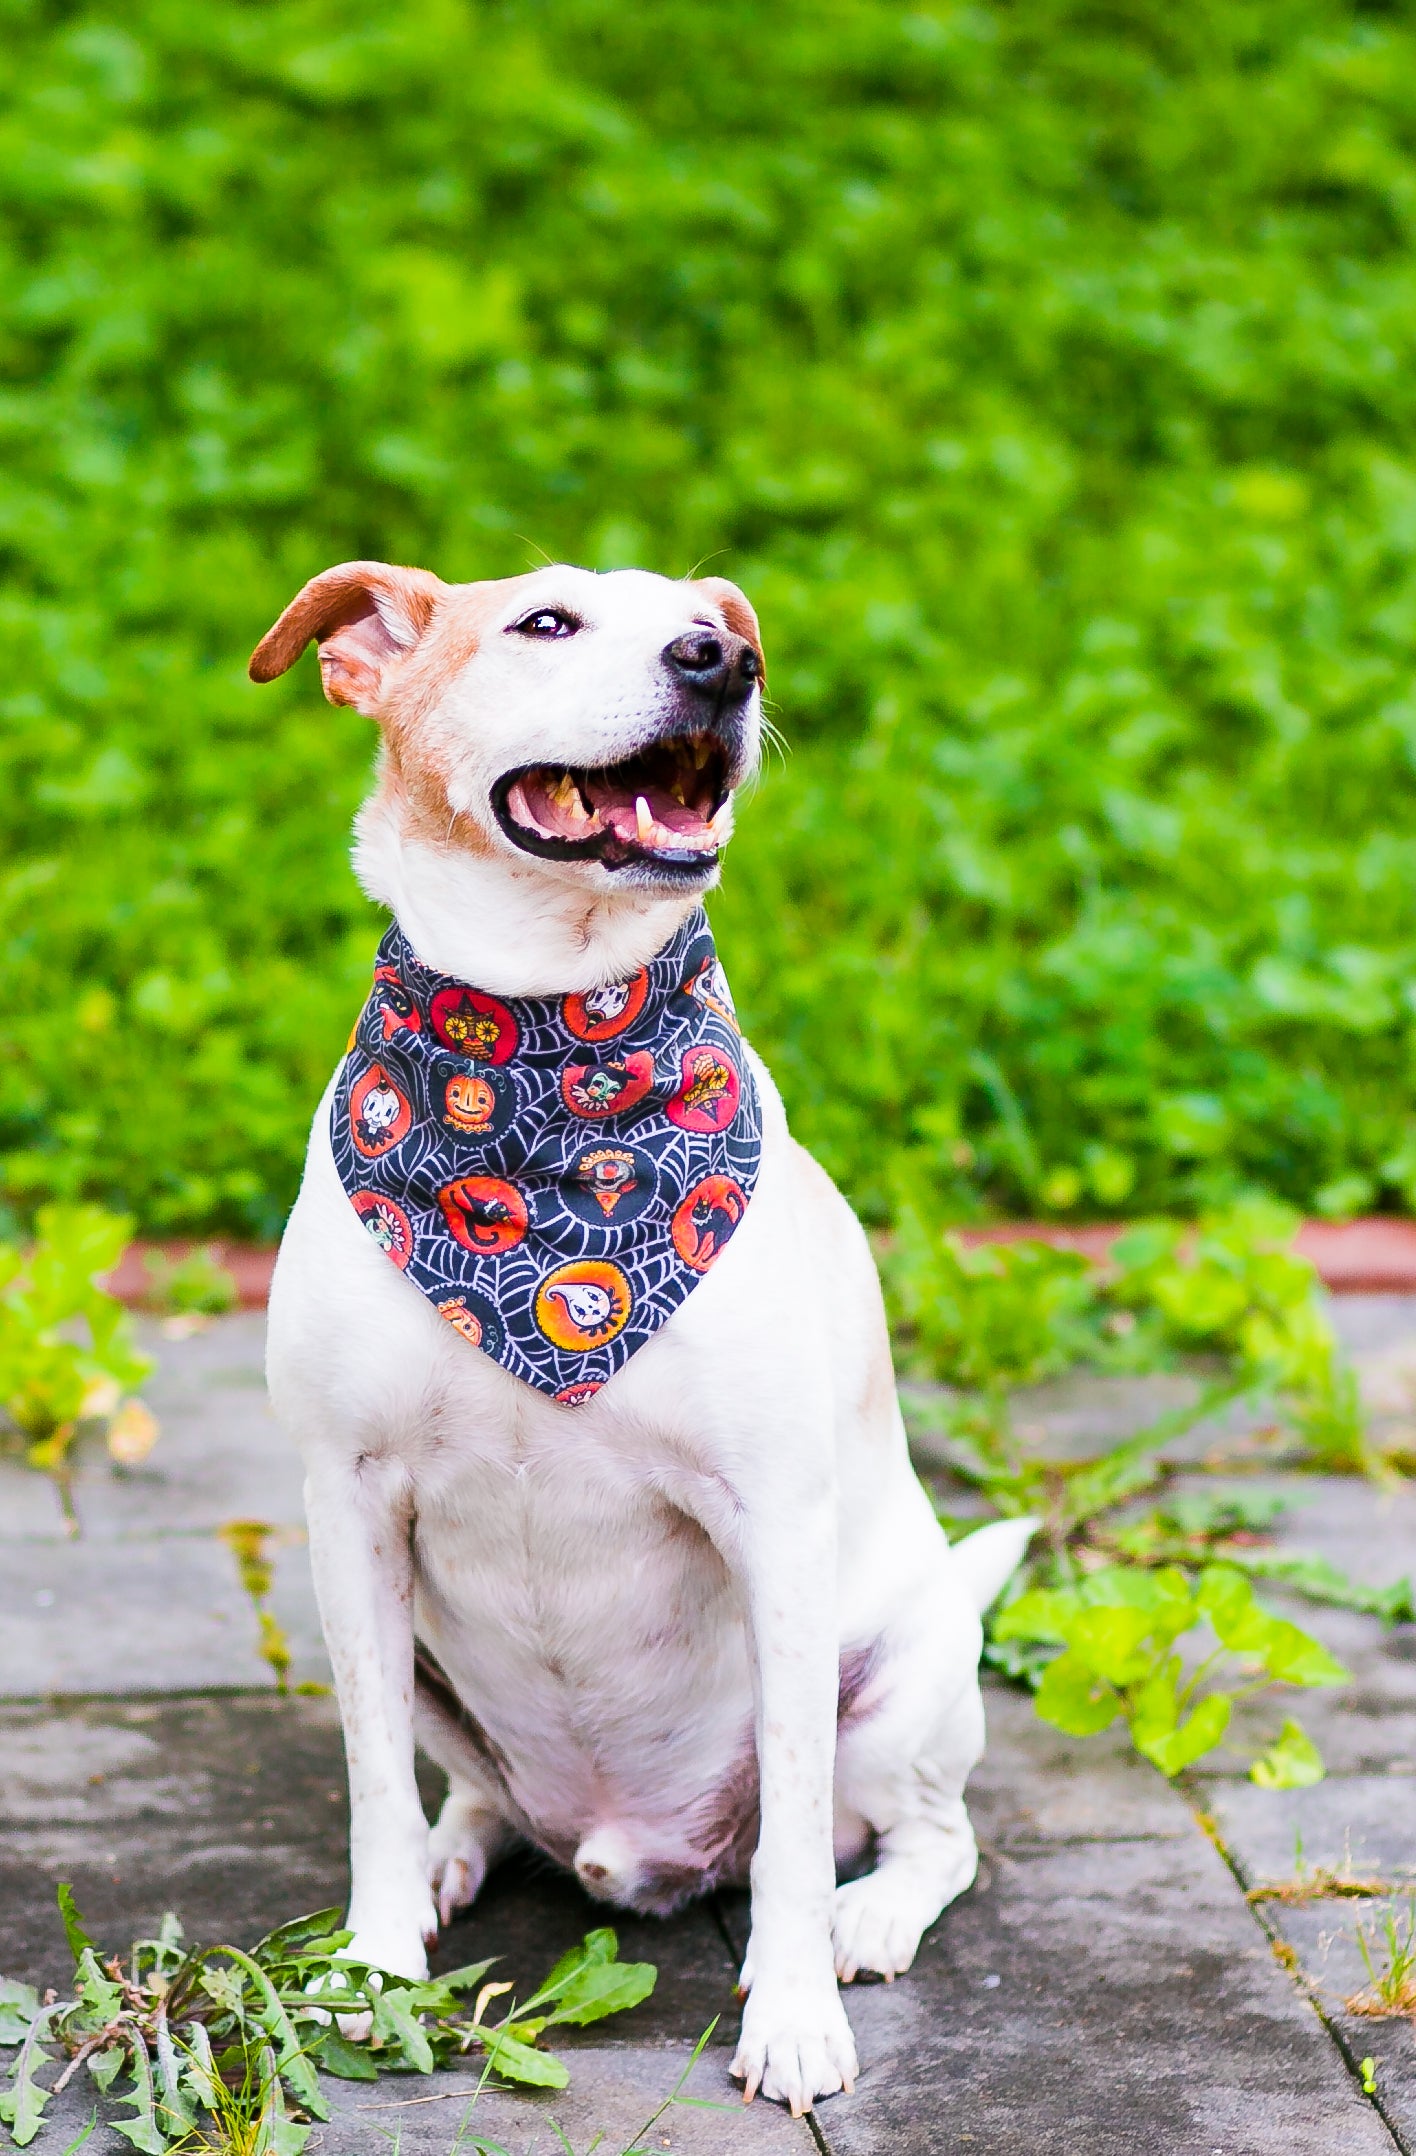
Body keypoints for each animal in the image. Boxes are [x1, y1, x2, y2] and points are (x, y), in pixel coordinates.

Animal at [251, 560, 1025, 2121]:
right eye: (545, 623)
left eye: (717, 622)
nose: (720, 659)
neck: (550, 1052)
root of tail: (634, 1851)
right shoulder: (348, 1505)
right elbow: (368, 1782)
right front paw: (373, 1962)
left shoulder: (773, 1519)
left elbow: (793, 1822)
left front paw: (789, 2017)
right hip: (432, 1663)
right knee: (471, 1792)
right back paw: (451, 1861)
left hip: (908, 1674)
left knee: (923, 1837)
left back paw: (865, 1917)